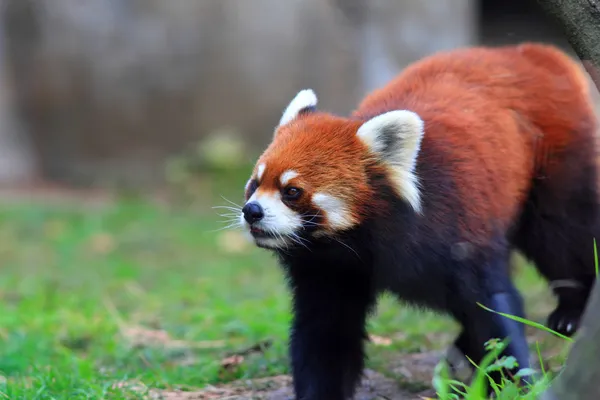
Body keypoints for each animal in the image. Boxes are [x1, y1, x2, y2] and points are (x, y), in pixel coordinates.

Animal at [237, 42, 596, 398]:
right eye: (255, 184)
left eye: (292, 191)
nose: (251, 211)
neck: (353, 242)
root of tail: (523, 51)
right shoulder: (327, 270)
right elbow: (325, 335)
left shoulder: (456, 230)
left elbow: (493, 310)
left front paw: (516, 383)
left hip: (557, 162)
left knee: (563, 235)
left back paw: (571, 312)